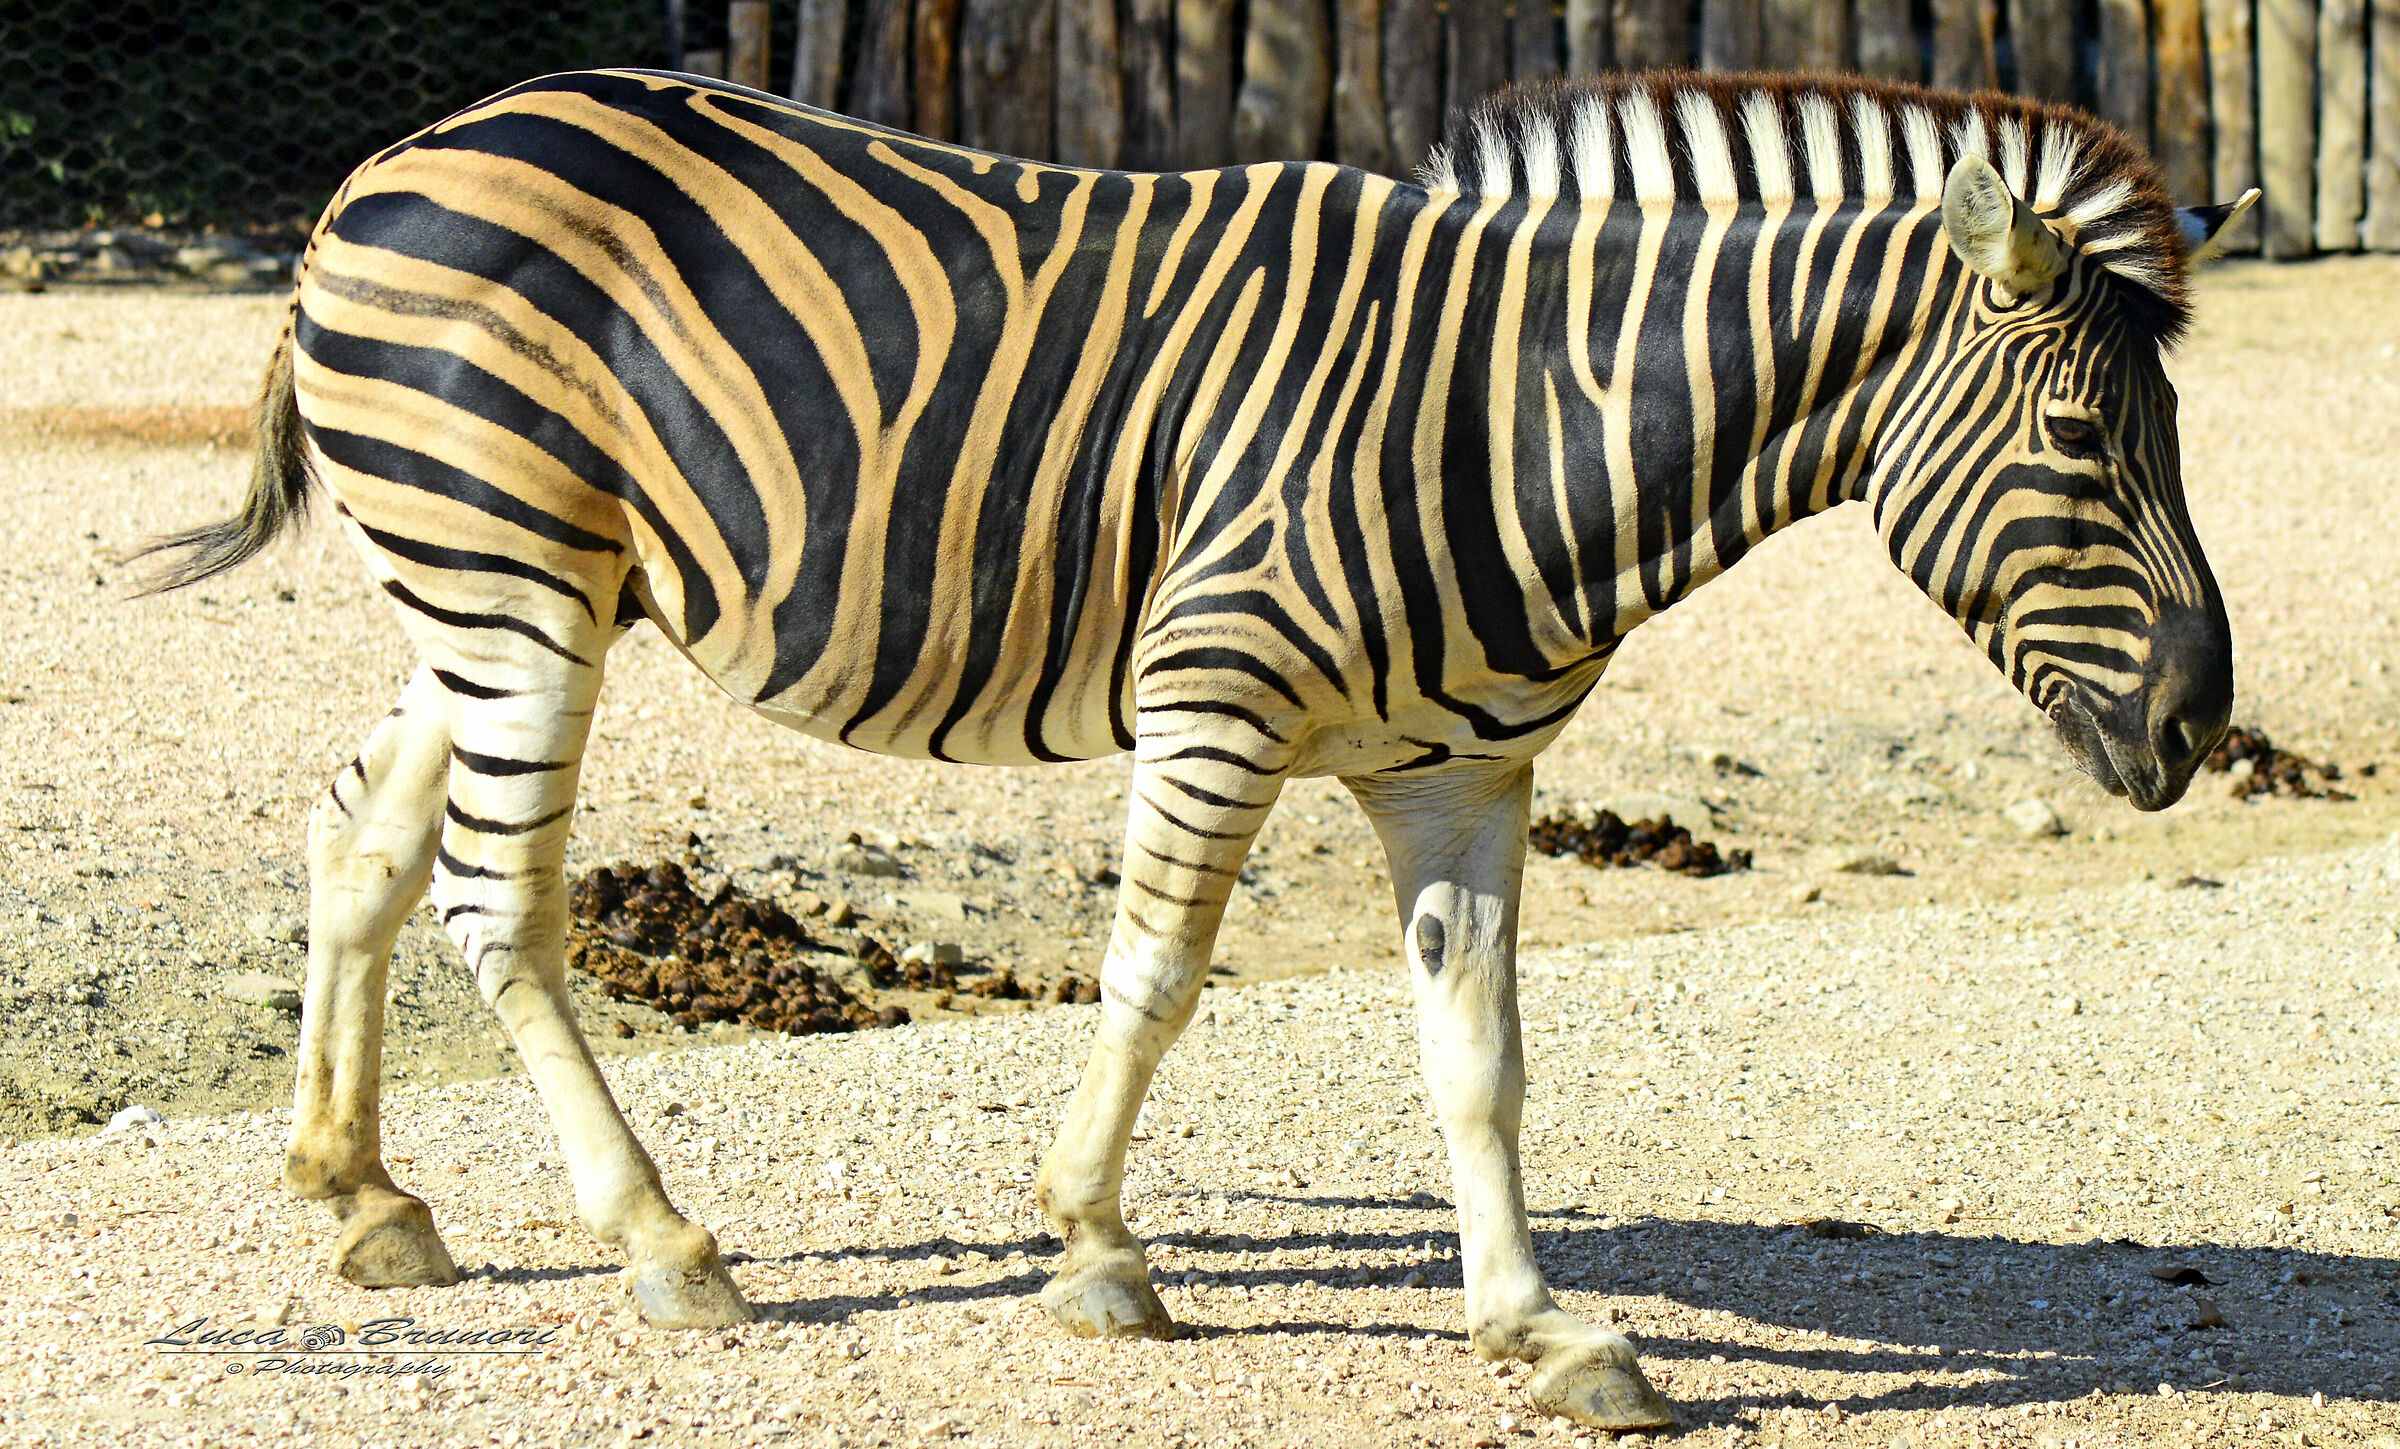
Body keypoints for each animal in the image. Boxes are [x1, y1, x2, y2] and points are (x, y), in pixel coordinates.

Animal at [145, 67, 2250, 1431]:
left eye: (2160, 438)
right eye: (2084, 443)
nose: (2202, 723)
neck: (1522, 414)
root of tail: (400, 152)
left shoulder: (1458, 769)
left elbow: (1482, 1057)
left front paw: (1541, 1325)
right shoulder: (1214, 690)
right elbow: (1152, 978)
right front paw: (1095, 1249)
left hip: (520, 589)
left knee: (360, 835)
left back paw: (363, 1195)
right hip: (509, 580)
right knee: (501, 899)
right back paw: (663, 1239)